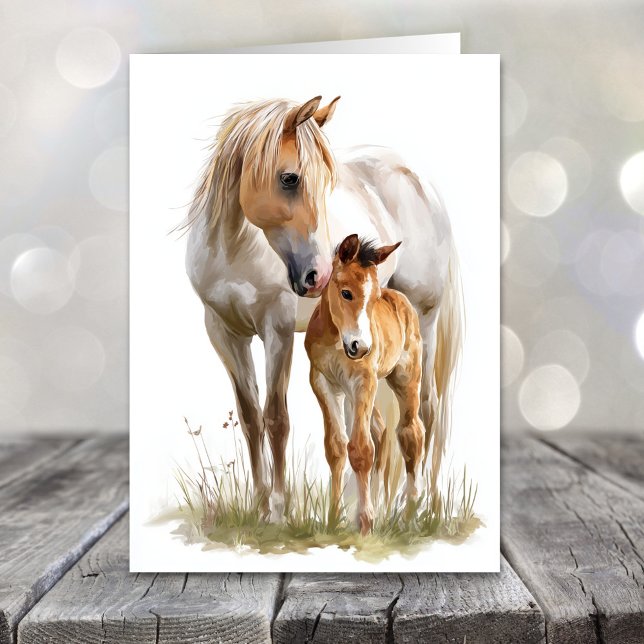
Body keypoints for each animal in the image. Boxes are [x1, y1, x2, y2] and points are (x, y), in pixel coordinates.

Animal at [305, 234, 424, 534]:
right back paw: (382, 506)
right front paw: (334, 519)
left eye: (375, 298)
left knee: (411, 432)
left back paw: (409, 516)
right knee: (381, 431)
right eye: (346, 293)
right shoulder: (323, 383)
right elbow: (336, 447)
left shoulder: (364, 380)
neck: (336, 338)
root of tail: (402, 299)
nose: (361, 347)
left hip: (405, 379)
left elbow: (361, 449)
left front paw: (366, 524)